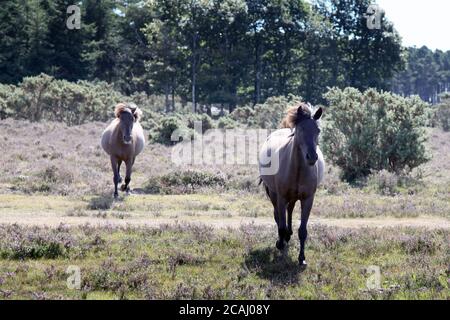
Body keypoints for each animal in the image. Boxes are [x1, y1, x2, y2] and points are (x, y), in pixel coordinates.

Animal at [258, 104, 326, 266]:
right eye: (300, 129)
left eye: (318, 130)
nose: (312, 157)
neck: (298, 168)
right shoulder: (281, 197)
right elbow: (281, 225)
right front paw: (281, 247)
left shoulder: (308, 199)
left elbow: (303, 231)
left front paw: (302, 259)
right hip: (274, 194)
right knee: (278, 215)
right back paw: (282, 240)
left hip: (293, 197)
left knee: (289, 211)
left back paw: (288, 235)